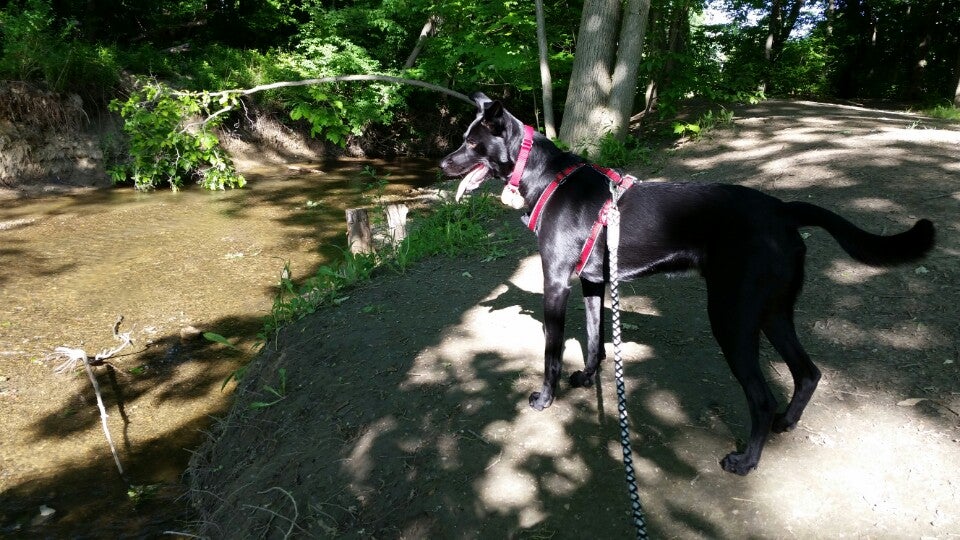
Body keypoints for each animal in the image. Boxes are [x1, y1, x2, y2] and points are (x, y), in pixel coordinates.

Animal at [440, 92, 935, 475]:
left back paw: (747, 460)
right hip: (773, 312)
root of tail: (783, 210)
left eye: (470, 143)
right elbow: (596, 341)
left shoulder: (556, 282)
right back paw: (787, 424)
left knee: (762, 398)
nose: (443, 163)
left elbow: (551, 353)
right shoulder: (593, 284)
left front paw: (546, 398)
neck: (546, 176)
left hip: (732, 318)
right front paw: (587, 378)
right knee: (808, 373)